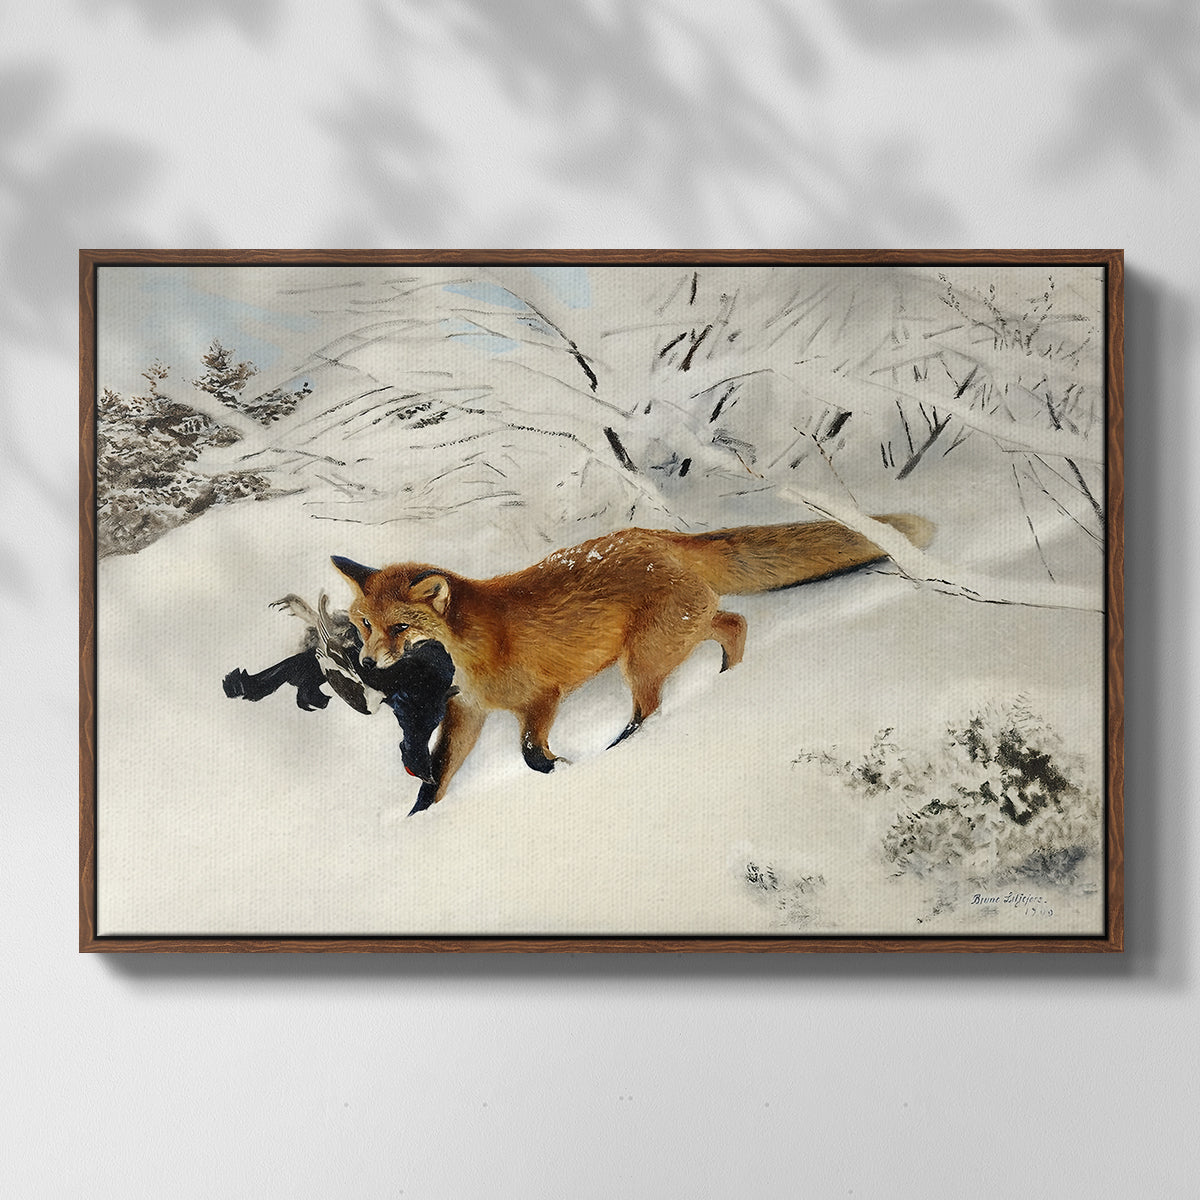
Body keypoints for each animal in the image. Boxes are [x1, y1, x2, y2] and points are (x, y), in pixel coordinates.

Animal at [332, 513, 934, 814]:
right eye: (363, 624)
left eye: (399, 628)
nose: (367, 662)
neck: (475, 649)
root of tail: (660, 536)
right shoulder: (468, 712)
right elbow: (437, 777)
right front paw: (418, 821)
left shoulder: (542, 698)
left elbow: (530, 754)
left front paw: (565, 770)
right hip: (677, 635)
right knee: (734, 623)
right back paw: (728, 679)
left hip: (642, 660)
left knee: (652, 707)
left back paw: (625, 747)